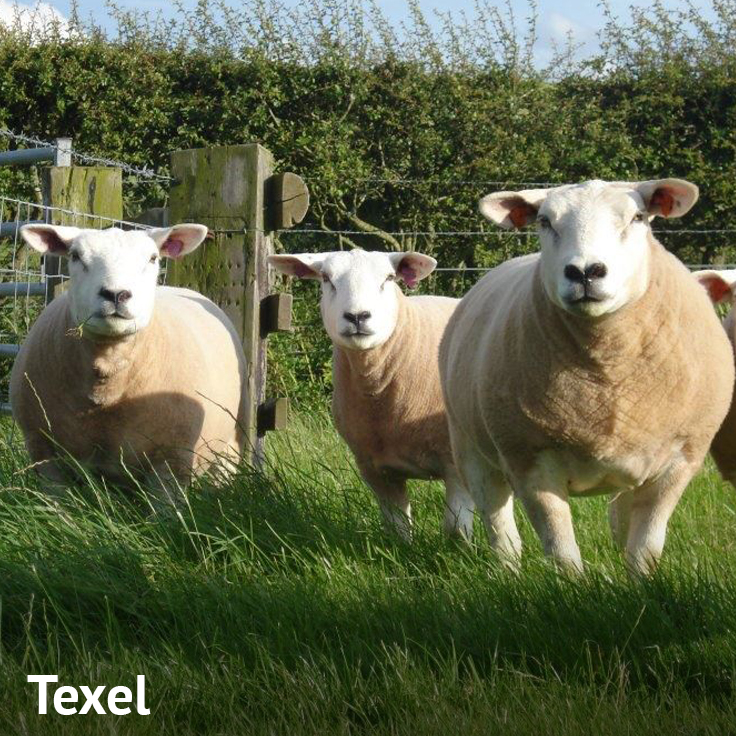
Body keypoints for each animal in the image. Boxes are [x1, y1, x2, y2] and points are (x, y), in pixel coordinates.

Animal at [10, 224, 247, 505]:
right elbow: (58, 506)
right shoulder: (44, 452)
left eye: (153, 258)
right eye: (76, 256)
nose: (116, 294)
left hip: (229, 444)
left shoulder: (172, 459)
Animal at [268, 249, 475, 541]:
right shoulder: (376, 469)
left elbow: (456, 531)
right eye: (326, 279)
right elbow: (397, 531)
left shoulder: (457, 465)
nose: (357, 316)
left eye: (388, 278)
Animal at [440, 179, 734, 575]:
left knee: (620, 516)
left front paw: (642, 585)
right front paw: (572, 587)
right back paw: (507, 572)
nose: (584, 272)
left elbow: (645, 547)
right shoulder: (530, 460)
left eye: (638, 217)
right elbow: (561, 549)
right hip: (470, 446)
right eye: (545, 221)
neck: (606, 378)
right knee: (499, 524)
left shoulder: (679, 460)